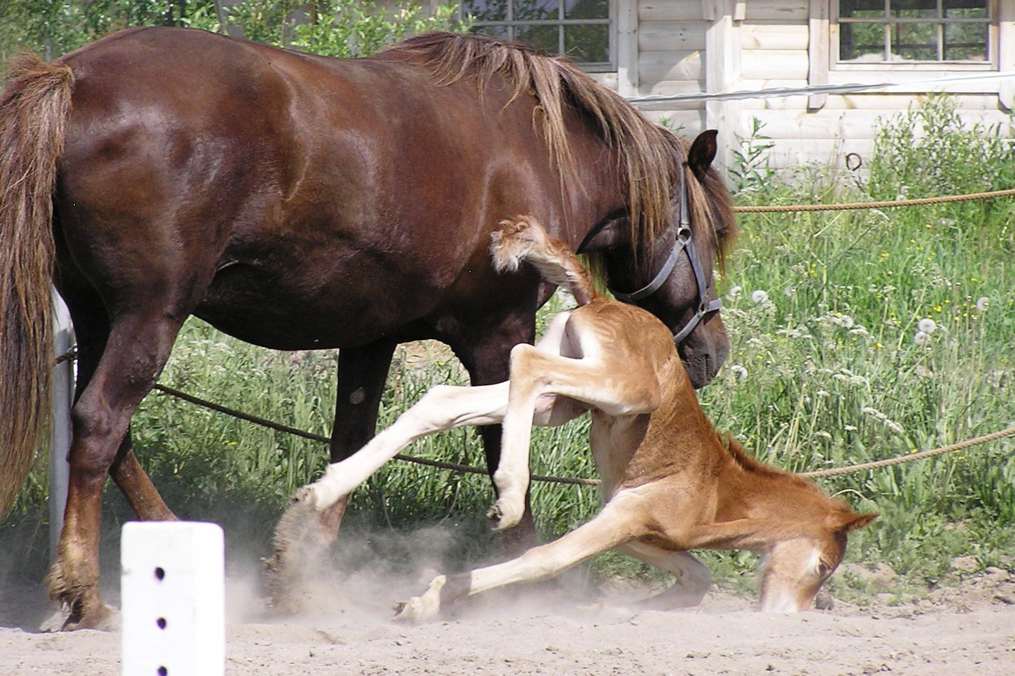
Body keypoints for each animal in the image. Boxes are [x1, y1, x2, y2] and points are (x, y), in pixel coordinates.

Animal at [0, 26, 734, 625]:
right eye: (705, 233)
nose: (712, 350)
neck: (535, 147)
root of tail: (73, 77)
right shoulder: (496, 334)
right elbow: (504, 442)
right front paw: (527, 583)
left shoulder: (369, 337)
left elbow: (349, 443)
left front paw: (302, 570)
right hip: (150, 313)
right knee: (100, 424)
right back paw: (83, 591)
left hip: (99, 313)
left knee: (110, 435)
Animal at [290, 216, 876, 617]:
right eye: (823, 566)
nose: (788, 615)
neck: (719, 495)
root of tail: (601, 298)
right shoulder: (623, 518)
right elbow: (547, 558)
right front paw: (427, 601)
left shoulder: (638, 533)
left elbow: (698, 577)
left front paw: (639, 607)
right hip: (621, 389)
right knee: (526, 361)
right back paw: (508, 496)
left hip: (570, 398)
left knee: (448, 399)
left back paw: (321, 490)